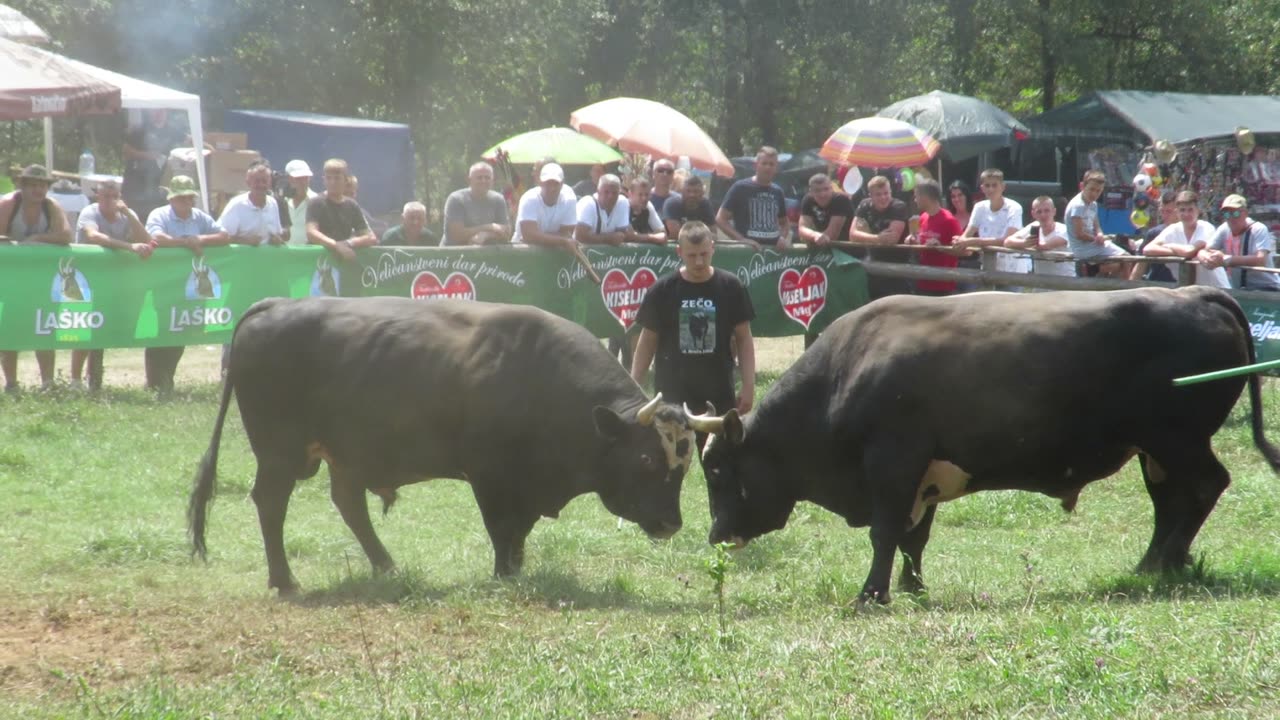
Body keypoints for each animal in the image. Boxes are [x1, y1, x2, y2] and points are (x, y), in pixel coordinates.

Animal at [185, 294, 696, 591]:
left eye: (684, 466)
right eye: (647, 459)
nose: (671, 524)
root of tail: (272, 306)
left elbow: (519, 533)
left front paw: (516, 568)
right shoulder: (490, 478)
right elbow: (502, 529)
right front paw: (504, 575)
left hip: (344, 455)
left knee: (348, 504)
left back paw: (386, 567)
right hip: (280, 453)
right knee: (271, 503)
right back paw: (284, 579)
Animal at [696, 285, 1280, 599]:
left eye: (719, 471)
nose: (716, 534)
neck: (847, 368)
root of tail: (1194, 293)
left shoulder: (894, 462)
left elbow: (886, 533)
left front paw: (872, 594)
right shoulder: (924, 474)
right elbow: (913, 537)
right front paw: (911, 587)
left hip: (1178, 439)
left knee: (1205, 485)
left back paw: (1170, 558)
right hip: (1155, 449)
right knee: (1170, 500)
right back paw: (1153, 564)